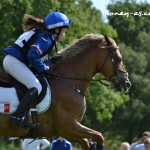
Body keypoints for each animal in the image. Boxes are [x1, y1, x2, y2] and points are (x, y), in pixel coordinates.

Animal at [0, 33, 131, 149]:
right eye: (118, 59)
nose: (127, 83)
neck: (68, 82)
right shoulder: (67, 127)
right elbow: (99, 136)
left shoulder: (70, 129)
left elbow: (87, 142)